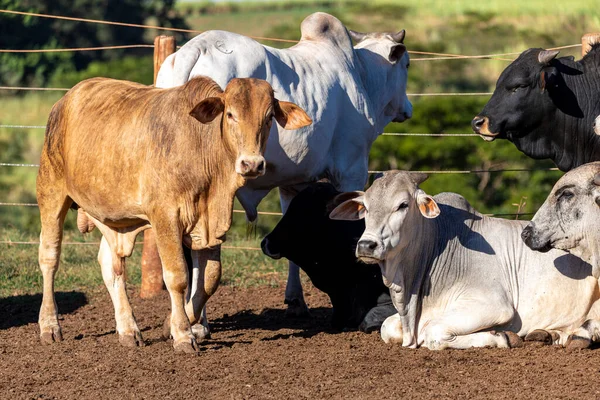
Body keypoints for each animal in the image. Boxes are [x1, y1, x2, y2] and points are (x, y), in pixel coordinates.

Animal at [35, 76, 312, 354]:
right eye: (231, 114)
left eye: (268, 117)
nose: (252, 164)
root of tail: (66, 99)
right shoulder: (165, 218)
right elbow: (178, 276)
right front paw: (182, 334)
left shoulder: (211, 224)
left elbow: (210, 279)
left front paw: (178, 324)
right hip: (51, 192)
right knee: (49, 258)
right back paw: (49, 325)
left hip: (113, 218)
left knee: (111, 266)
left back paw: (128, 329)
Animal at [330, 171, 600, 350]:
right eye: (365, 207)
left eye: (402, 205)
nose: (366, 245)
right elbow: (386, 327)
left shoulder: (493, 305)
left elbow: (434, 333)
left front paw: (502, 337)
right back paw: (551, 334)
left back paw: (582, 334)